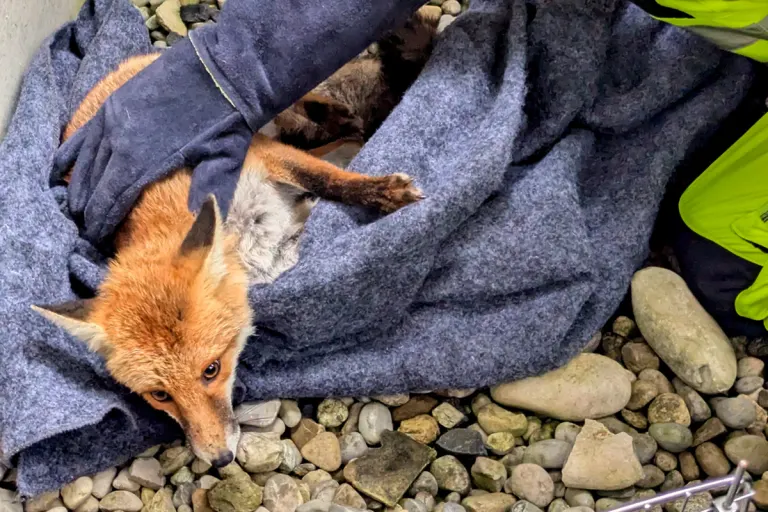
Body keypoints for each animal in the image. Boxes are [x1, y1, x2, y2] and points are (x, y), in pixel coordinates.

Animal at [31, 37, 426, 466]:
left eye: (212, 369)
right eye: (160, 394)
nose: (219, 458)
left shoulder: (262, 157)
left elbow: (329, 177)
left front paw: (383, 191)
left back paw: (330, 112)